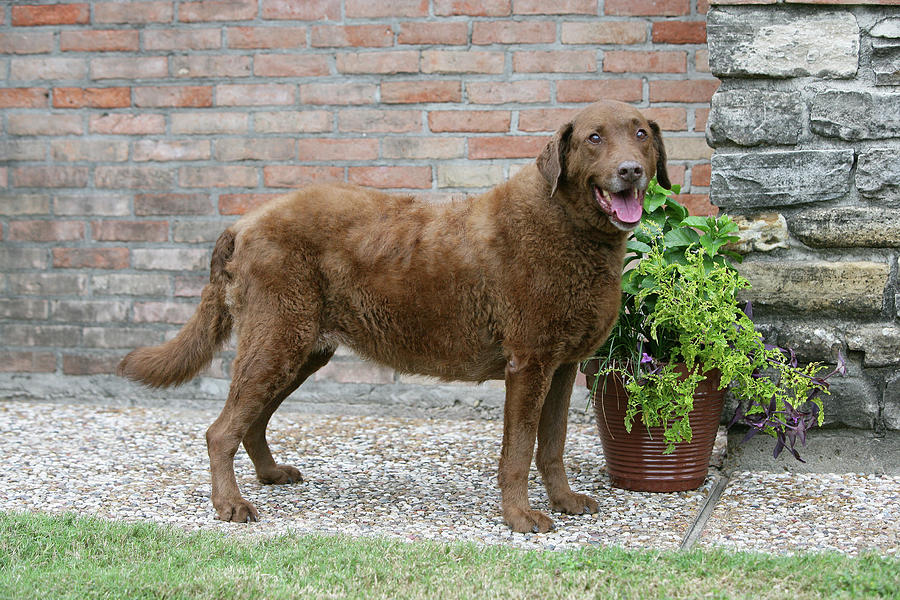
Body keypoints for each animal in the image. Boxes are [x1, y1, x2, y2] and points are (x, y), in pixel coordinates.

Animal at [119, 99, 668, 536]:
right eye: (594, 137)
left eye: (641, 133)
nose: (630, 171)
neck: (572, 230)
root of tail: (243, 221)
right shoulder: (529, 364)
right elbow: (517, 452)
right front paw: (520, 518)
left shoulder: (563, 366)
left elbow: (551, 445)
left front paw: (565, 502)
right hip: (278, 339)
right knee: (221, 430)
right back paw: (230, 504)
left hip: (301, 349)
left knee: (251, 421)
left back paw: (271, 476)